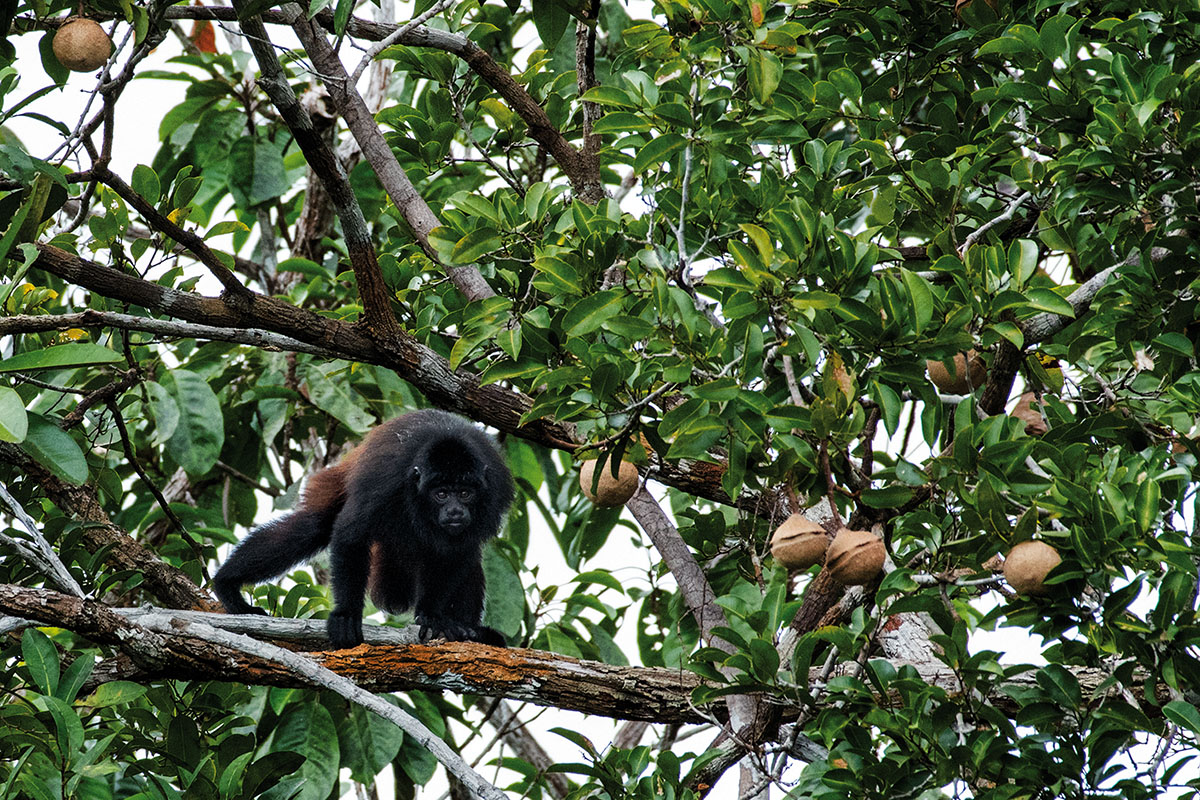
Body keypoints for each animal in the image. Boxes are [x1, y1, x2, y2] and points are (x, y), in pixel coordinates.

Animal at [213, 410, 513, 647]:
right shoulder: (386, 480)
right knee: (314, 526)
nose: (454, 511)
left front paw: (432, 617)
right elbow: (350, 535)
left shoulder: (493, 491)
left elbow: (457, 554)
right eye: (441, 494)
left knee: (470, 560)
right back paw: (227, 584)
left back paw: (474, 633)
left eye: (465, 493)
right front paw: (346, 615)